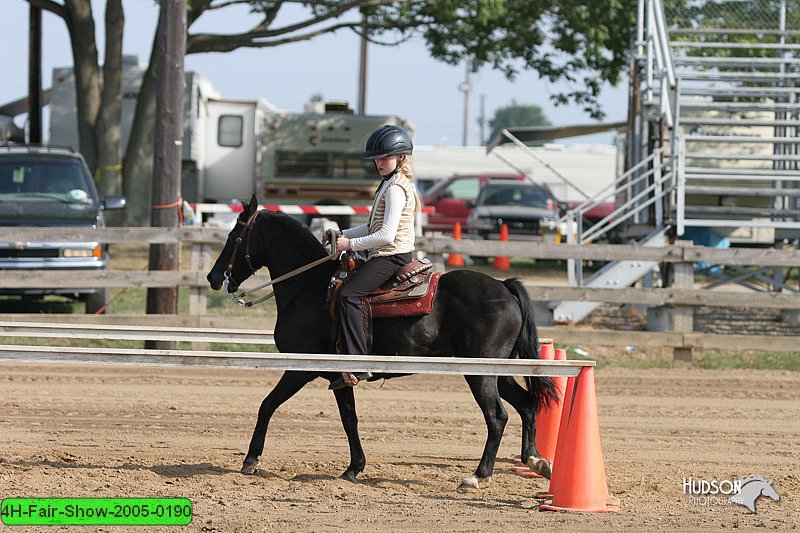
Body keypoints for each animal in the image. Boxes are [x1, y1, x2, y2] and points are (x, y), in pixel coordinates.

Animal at [206, 193, 556, 488]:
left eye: (234, 237)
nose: (213, 278)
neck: (309, 289)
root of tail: (504, 287)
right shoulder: (339, 376)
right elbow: (350, 418)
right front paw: (353, 468)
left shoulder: (301, 369)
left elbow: (267, 405)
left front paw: (251, 459)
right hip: (499, 372)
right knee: (527, 404)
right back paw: (536, 461)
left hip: (481, 375)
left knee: (497, 417)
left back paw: (477, 475)